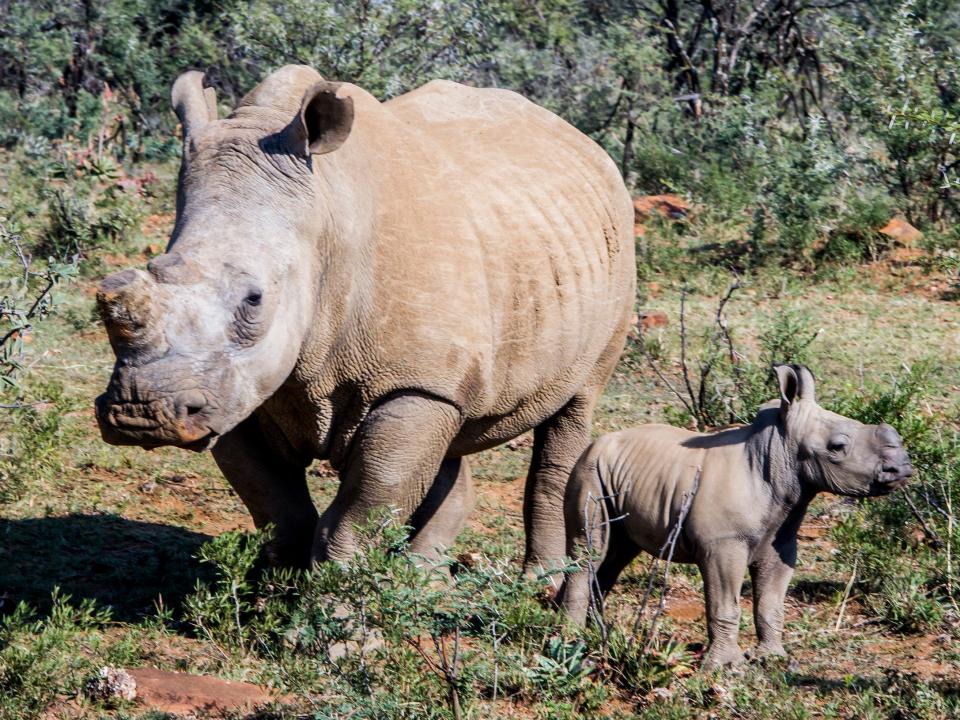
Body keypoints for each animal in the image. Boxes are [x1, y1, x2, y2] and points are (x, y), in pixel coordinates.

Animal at [94, 66, 636, 572]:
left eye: (253, 299)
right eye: (151, 271)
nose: (138, 413)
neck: (324, 219)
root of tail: (581, 140)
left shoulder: (412, 383)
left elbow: (365, 506)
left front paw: (331, 607)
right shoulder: (233, 389)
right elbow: (275, 504)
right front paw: (273, 593)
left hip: (615, 249)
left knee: (572, 411)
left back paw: (539, 584)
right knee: (454, 433)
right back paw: (426, 579)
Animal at [564, 366, 916, 668]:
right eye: (838, 447)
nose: (902, 468)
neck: (778, 452)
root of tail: (595, 443)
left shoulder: (781, 541)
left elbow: (770, 604)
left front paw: (772, 658)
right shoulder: (723, 545)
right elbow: (725, 605)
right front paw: (726, 667)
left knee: (617, 554)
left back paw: (595, 634)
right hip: (589, 469)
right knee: (590, 550)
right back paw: (572, 640)